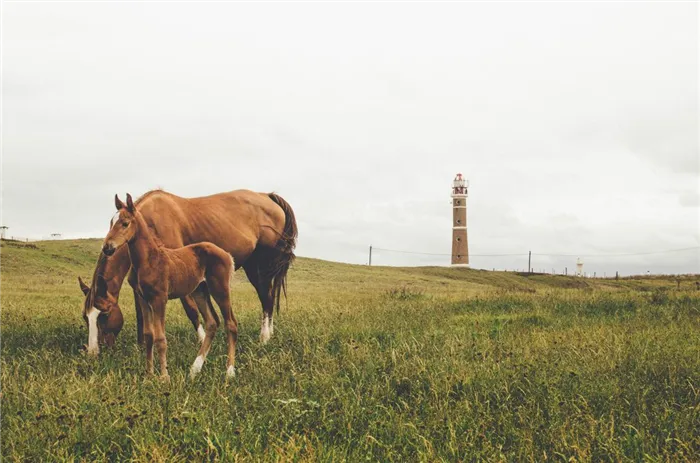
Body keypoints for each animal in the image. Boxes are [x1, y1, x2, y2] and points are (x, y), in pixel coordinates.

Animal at [80, 188, 298, 356]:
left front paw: (202, 340)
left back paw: (264, 338)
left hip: (261, 266)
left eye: (104, 315)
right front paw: (141, 345)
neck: (150, 222)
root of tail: (267, 196)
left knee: (266, 298)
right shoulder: (141, 284)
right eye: (85, 317)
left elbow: (191, 309)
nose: (92, 352)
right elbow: (141, 314)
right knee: (268, 297)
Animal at [102, 195, 238, 380]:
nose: (107, 248)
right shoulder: (144, 299)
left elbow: (160, 338)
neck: (147, 260)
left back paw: (229, 372)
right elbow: (149, 335)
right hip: (200, 291)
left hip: (220, 289)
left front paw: (164, 377)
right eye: (111, 221)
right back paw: (194, 370)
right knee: (212, 323)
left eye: (125, 223)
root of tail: (227, 254)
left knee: (230, 323)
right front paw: (149, 375)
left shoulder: (160, 299)